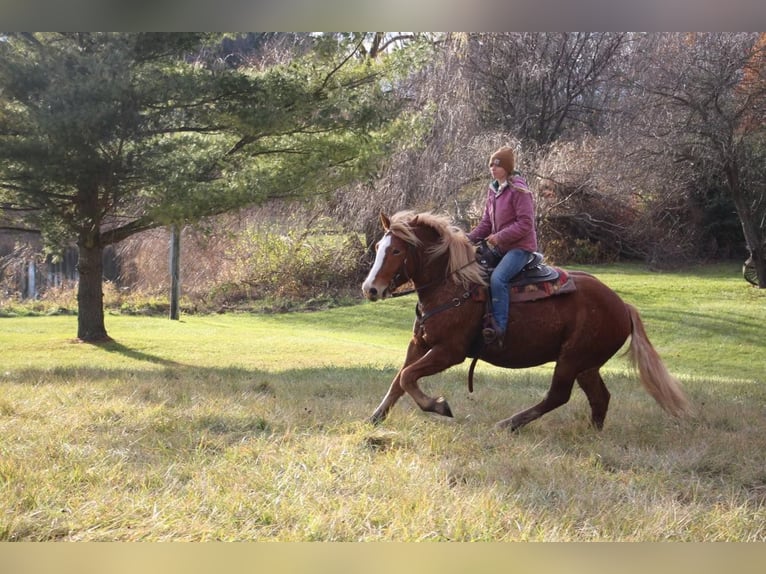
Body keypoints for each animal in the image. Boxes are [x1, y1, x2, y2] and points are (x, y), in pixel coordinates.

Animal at [364, 212, 692, 432]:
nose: (371, 289)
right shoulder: (419, 344)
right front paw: (375, 417)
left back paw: (508, 423)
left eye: (396, 250)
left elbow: (408, 377)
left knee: (558, 396)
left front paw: (439, 405)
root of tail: (622, 306)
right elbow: (399, 379)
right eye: (379, 247)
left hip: (572, 359)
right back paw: (592, 433)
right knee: (600, 398)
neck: (454, 285)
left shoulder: (449, 351)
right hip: (587, 365)